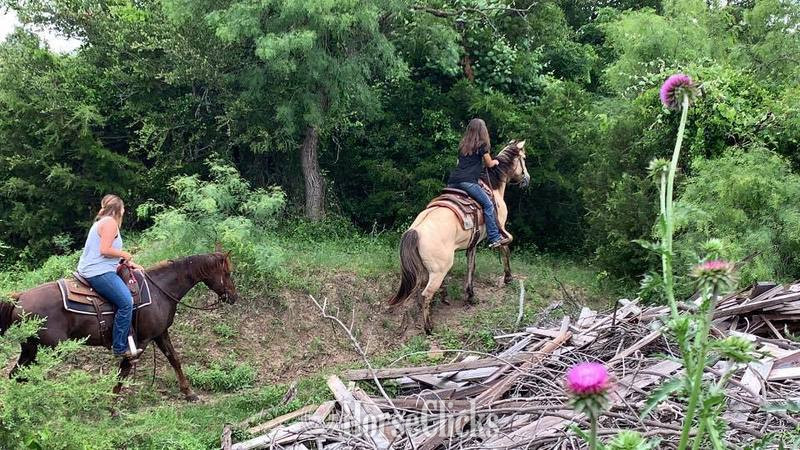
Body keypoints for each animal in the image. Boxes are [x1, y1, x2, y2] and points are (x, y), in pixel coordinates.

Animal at [0, 251, 239, 401]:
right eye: (227, 273)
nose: (234, 297)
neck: (161, 290)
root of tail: (19, 298)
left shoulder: (160, 333)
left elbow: (174, 360)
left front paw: (189, 393)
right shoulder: (140, 341)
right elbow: (123, 371)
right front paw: (112, 406)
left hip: (30, 349)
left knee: (16, 375)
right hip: (47, 350)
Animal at [388, 139, 530, 334]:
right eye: (524, 158)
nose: (527, 179)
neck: (492, 187)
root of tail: (415, 231)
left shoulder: (472, 244)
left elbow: (471, 266)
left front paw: (470, 295)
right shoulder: (500, 227)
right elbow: (505, 248)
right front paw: (508, 277)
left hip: (426, 269)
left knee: (420, 290)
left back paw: (441, 298)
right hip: (439, 269)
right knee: (425, 294)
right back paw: (429, 327)